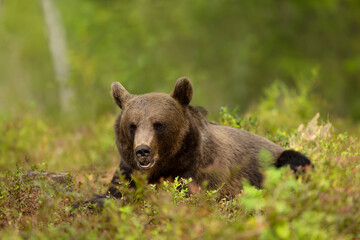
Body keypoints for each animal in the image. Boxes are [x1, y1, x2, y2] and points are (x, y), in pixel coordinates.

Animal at [81, 77, 310, 206]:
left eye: (158, 124)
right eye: (132, 125)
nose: (143, 150)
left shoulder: (202, 173)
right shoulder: (127, 171)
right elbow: (117, 190)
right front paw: (94, 200)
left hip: (277, 160)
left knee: (296, 161)